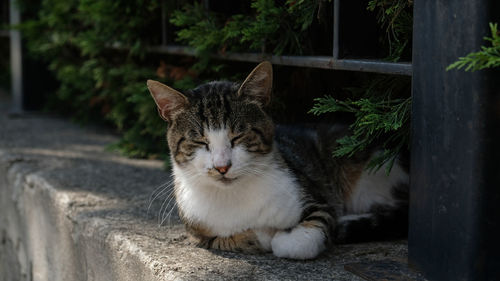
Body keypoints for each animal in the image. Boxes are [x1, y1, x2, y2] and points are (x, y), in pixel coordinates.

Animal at [146, 62, 410, 260]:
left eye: (238, 136)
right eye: (200, 141)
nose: (222, 166)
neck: (233, 195)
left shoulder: (314, 196)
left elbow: (301, 240)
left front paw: (284, 237)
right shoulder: (198, 233)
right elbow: (229, 240)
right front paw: (260, 235)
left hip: (368, 177)